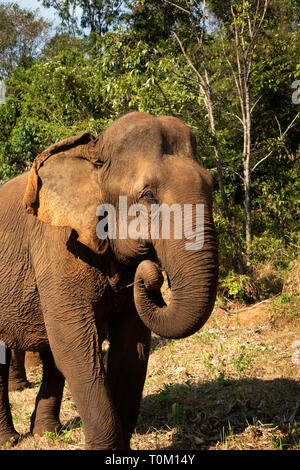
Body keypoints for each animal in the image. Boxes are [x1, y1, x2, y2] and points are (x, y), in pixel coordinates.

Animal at [0, 112, 217, 450]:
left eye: (213, 185)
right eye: (149, 195)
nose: (151, 272)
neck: (93, 154)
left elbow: (130, 348)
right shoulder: (57, 245)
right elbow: (73, 345)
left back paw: (46, 434)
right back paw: (10, 440)